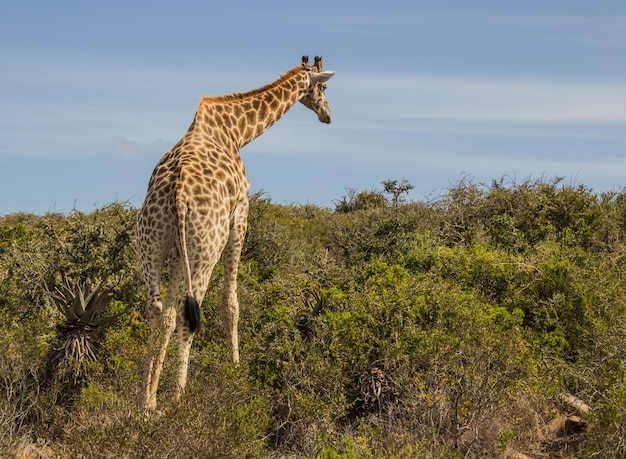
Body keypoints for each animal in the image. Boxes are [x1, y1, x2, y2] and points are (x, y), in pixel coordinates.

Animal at [135, 54, 334, 414]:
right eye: (323, 88)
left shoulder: (177, 251)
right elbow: (231, 303)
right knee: (189, 315)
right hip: (206, 247)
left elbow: (168, 316)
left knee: (157, 312)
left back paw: (145, 403)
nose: (327, 115)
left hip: (151, 242)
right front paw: (237, 371)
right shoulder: (241, 213)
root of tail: (178, 193)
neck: (236, 131)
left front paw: (151, 396)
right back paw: (179, 398)